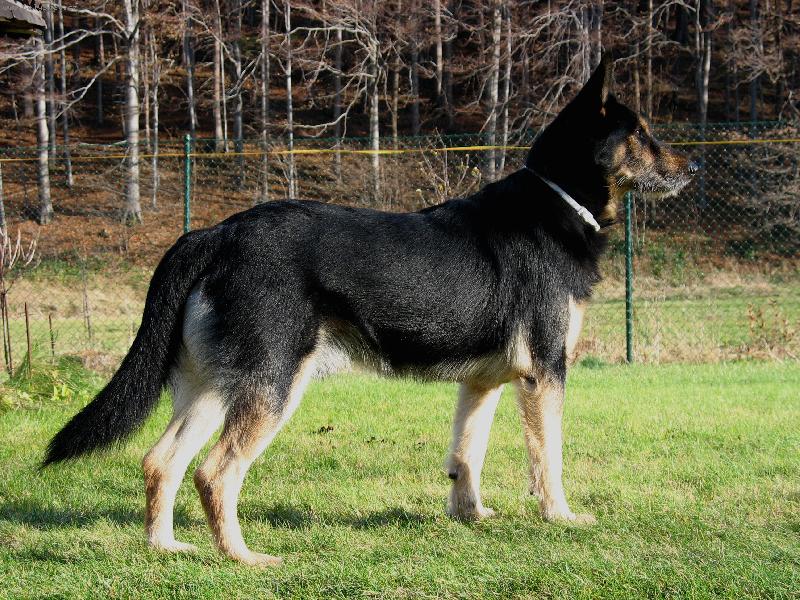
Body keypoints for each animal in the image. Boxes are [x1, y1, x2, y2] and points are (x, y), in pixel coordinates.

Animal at [43, 56, 695, 567]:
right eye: (641, 133)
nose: (694, 169)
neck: (558, 203)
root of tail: (214, 233)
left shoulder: (483, 383)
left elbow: (466, 455)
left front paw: (471, 516)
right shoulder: (544, 373)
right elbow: (549, 457)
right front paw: (559, 517)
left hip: (216, 388)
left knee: (162, 462)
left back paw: (167, 547)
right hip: (273, 387)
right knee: (215, 472)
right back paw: (242, 557)